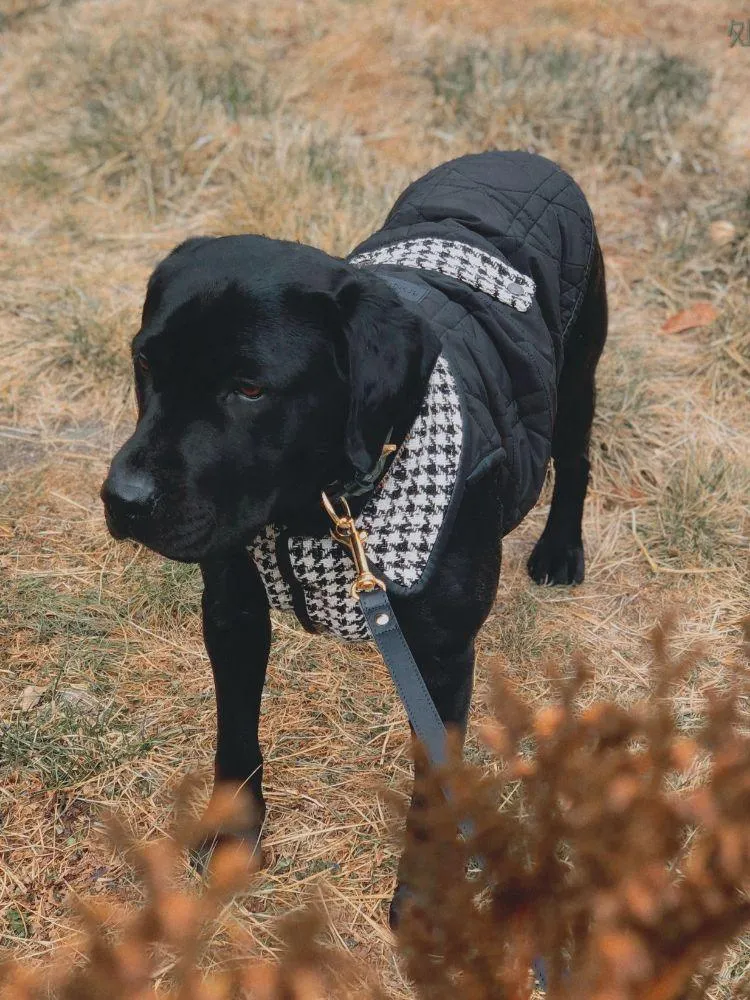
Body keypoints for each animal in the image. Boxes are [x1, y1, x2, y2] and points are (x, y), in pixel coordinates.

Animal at [103, 152, 608, 924]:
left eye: (250, 390)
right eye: (145, 363)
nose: (122, 500)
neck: (323, 506)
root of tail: (519, 156)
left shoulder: (442, 657)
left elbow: (434, 785)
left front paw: (426, 895)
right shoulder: (232, 611)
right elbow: (235, 736)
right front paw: (235, 841)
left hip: (576, 371)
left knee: (573, 458)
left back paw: (559, 551)